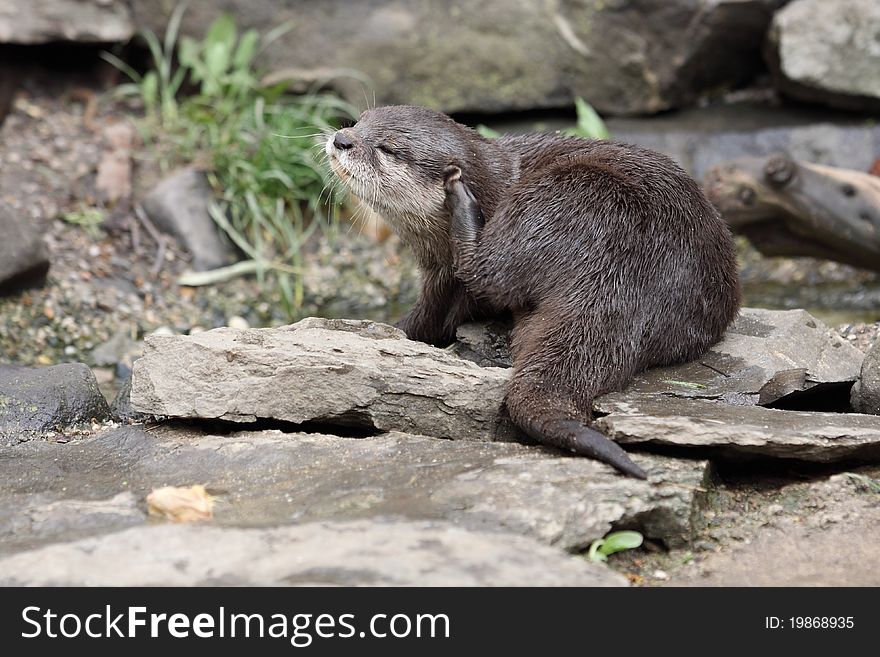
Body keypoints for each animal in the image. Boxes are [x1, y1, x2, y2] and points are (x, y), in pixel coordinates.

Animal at [326, 106, 740, 476]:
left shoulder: (443, 276)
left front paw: (394, 330)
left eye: (387, 148)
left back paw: (463, 203)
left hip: (559, 194)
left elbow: (435, 315)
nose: (341, 139)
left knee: (486, 273)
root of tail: (624, 269)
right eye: (359, 121)